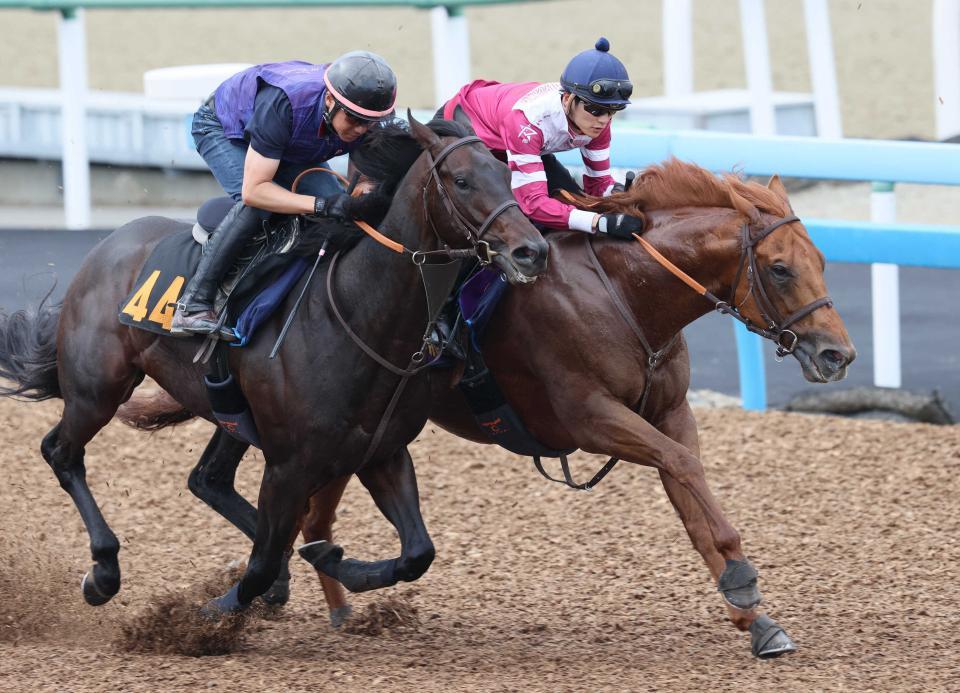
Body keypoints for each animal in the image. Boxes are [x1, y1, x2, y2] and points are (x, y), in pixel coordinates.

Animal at [0, 115, 548, 616]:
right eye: (462, 180)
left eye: (507, 174)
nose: (533, 250)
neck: (359, 314)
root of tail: (108, 245)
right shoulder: (289, 465)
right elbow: (261, 564)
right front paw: (209, 615)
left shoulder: (382, 452)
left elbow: (417, 552)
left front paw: (333, 561)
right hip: (98, 388)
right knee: (61, 452)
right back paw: (103, 572)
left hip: (229, 412)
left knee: (208, 479)